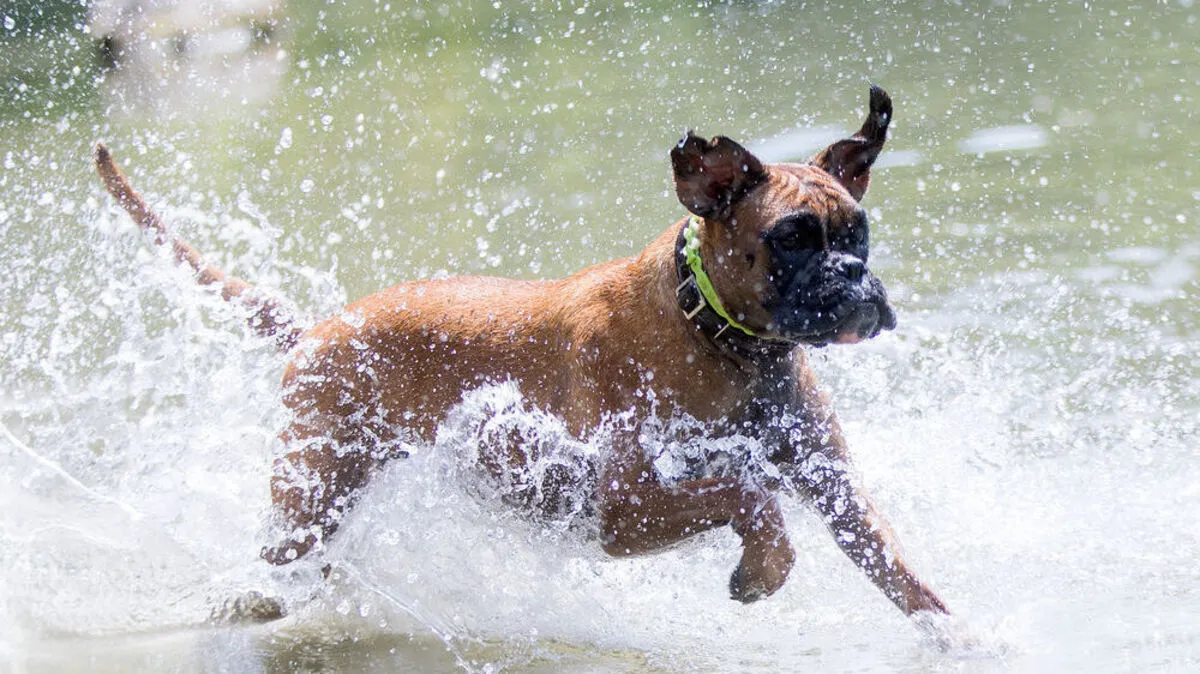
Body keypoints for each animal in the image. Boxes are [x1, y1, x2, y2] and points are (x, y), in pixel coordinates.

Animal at [94, 84, 947, 618]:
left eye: (858, 233)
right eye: (792, 238)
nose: (854, 278)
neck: (720, 339)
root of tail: (320, 327)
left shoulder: (839, 493)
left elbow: (909, 582)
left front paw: (960, 639)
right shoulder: (621, 508)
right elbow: (748, 491)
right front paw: (763, 568)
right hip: (311, 488)